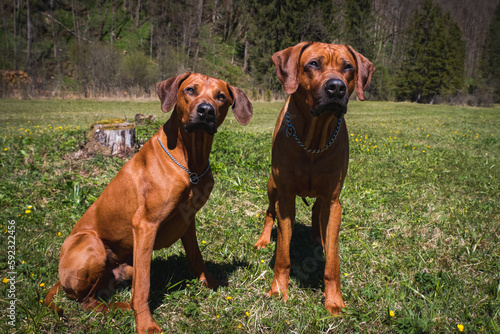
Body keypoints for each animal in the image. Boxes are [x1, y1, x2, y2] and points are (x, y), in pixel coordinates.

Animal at [43, 72, 252, 332]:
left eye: (221, 96)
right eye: (190, 90)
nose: (205, 111)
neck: (190, 162)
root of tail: (59, 280)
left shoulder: (188, 221)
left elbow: (197, 258)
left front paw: (211, 284)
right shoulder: (145, 225)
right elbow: (143, 285)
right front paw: (146, 323)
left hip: (124, 268)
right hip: (91, 245)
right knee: (86, 302)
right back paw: (123, 308)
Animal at [256, 42, 374, 316]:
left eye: (348, 67)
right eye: (313, 64)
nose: (337, 87)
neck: (313, 142)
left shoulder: (333, 201)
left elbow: (333, 261)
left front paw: (333, 300)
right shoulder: (286, 197)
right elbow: (283, 254)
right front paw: (278, 290)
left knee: (316, 213)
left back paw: (318, 241)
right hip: (272, 185)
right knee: (269, 211)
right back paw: (263, 239)